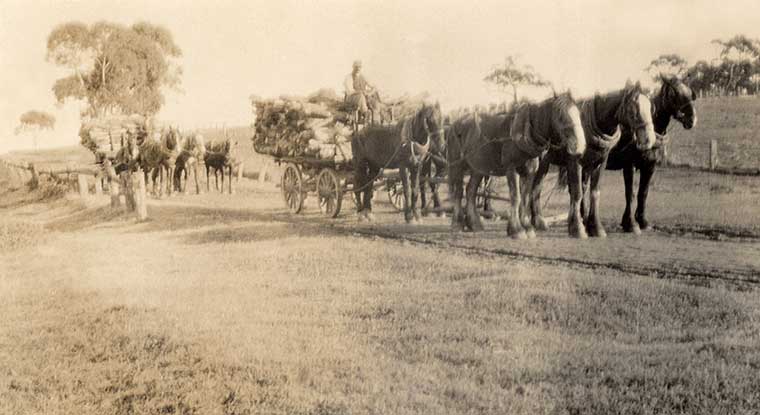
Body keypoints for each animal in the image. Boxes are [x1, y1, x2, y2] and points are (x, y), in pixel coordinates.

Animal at [446, 93, 588, 239]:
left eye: (579, 114)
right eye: (560, 116)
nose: (579, 145)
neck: (525, 133)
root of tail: (454, 125)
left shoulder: (530, 172)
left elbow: (525, 197)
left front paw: (528, 228)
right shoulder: (511, 169)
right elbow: (516, 197)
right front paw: (516, 230)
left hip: (478, 168)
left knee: (471, 191)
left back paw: (475, 224)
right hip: (457, 165)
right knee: (458, 192)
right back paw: (457, 224)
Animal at [528, 81, 660, 239]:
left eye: (651, 108)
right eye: (634, 110)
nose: (649, 139)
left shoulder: (600, 163)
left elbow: (594, 193)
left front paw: (595, 227)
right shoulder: (575, 162)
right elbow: (577, 192)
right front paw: (577, 228)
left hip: (545, 162)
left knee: (536, 187)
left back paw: (538, 221)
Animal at [604, 74, 696, 234]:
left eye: (691, 93)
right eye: (674, 93)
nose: (691, 119)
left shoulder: (650, 166)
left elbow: (643, 193)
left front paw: (642, 221)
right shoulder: (629, 166)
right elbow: (630, 193)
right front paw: (630, 223)